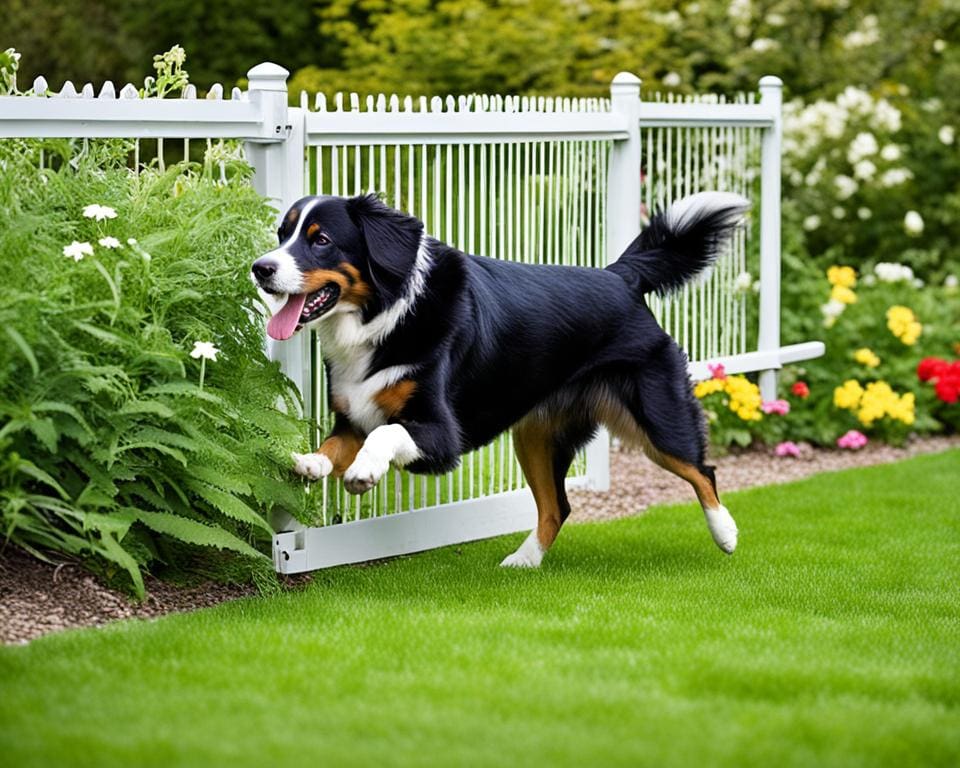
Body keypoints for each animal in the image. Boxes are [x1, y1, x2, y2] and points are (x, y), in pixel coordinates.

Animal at [251, 191, 748, 564]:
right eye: (282, 234)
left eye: (321, 239)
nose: (261, 268)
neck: (385, 316)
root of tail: (619, 277)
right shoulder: (354, 414)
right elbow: (337, 444)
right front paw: (312, 462)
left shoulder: (442, 436)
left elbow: (385, 435)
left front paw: (364, 471)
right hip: (535, 436)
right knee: (557, 506)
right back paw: (524, 560)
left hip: (656, 418)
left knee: (702, 470)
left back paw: (726, 533)